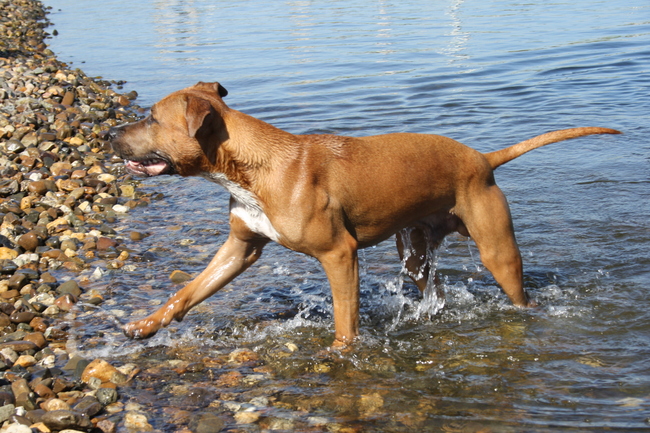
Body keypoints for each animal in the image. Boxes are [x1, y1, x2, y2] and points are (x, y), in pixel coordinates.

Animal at [109, 81, 620, 346]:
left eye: (151, 118)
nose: (111, 134)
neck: (254, 168)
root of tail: (482, 158)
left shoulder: (339, 254)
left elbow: (344, 318)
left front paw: (341, 353)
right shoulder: (240, 247)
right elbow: (189, 291)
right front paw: (146, 324)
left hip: (498, 251)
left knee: (517, 291)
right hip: (415, 252)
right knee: (432, 287)